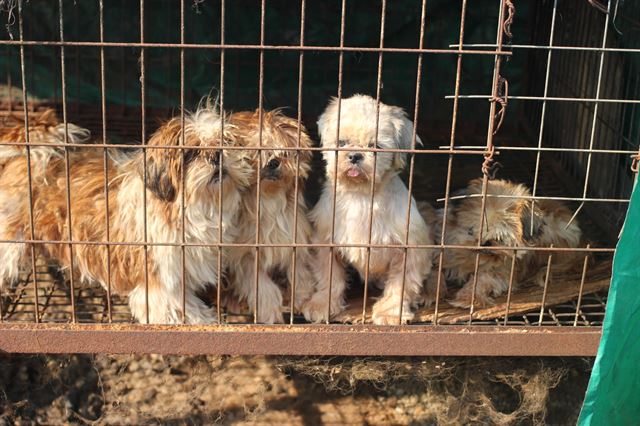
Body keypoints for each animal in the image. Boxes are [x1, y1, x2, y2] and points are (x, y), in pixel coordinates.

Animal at [0, 103, 254, 322]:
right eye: (191, 153)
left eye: (227, 142)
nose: (217, 155)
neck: (193, 207)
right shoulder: (159, 279)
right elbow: (174, 306)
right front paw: (199, 319)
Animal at [225, 110, 318, 322]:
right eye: (255, 154)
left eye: (283, 152)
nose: (273, 162)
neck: (268, 199)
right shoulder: (246, 257)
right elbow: (263, 288)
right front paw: (270, 313)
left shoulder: (295, 241)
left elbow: (300, 273)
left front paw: (301, 300)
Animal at [304, 95, 436, 324]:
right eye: (342, 143)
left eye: (376, 146)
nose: (355, 155)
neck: (361, 195)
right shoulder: (325, 241)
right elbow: (330, 276)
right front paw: (322, 304)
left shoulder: (410, 249)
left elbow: (400, 285)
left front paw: (390, 312)